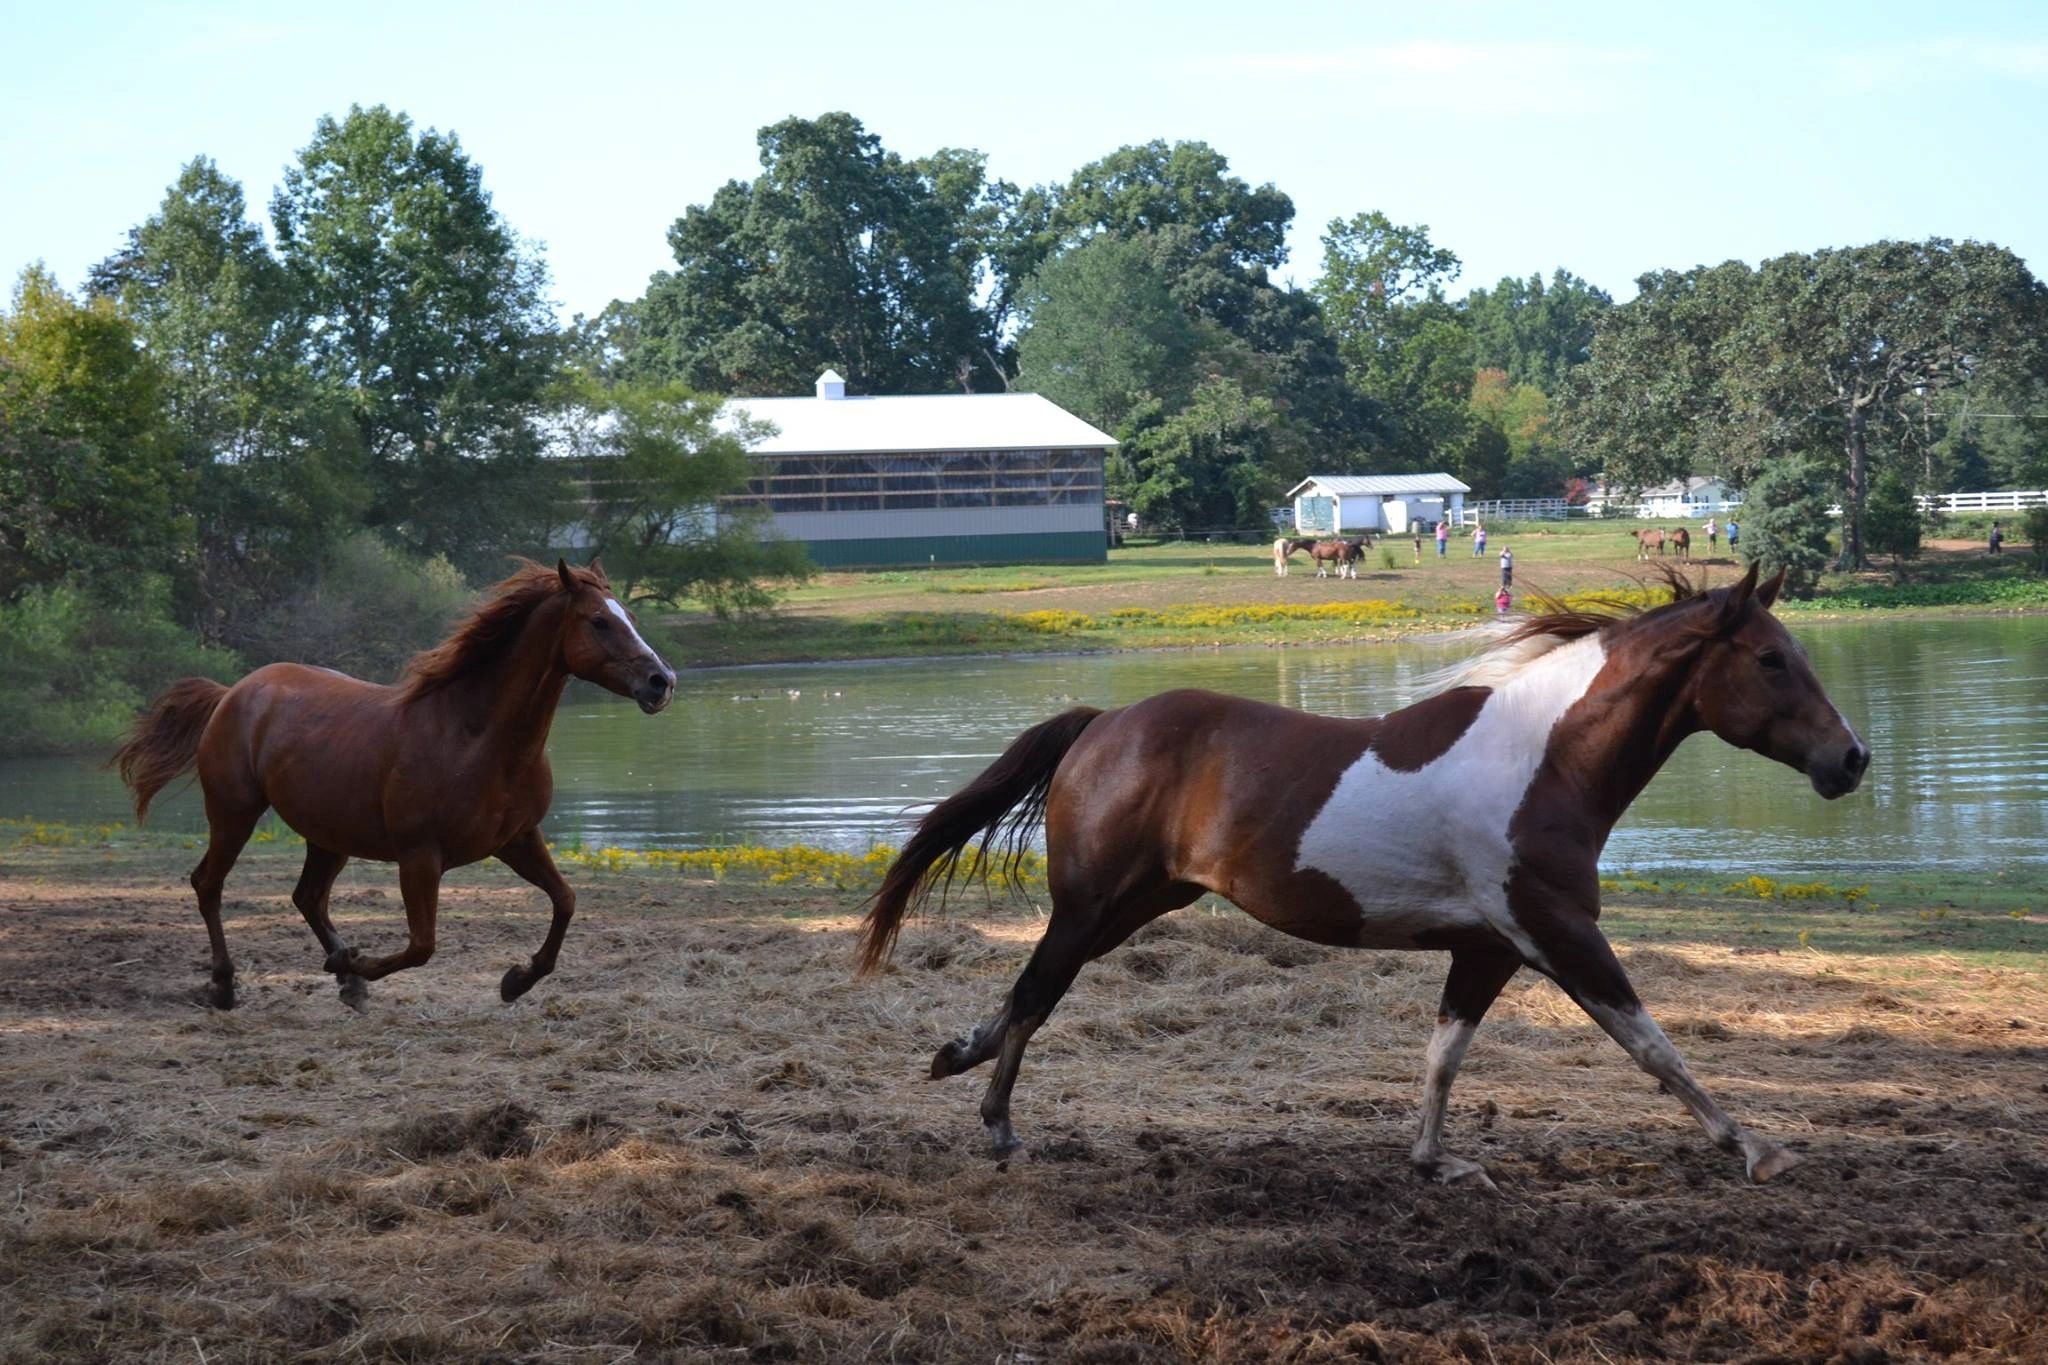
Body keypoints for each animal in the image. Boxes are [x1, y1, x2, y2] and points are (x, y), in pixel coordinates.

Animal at [110, 558, 675, 1011]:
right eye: (599, 621)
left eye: (630, 619)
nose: (661, 682)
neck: (475, 737)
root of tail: (234, 693)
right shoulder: (419, 855)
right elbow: (422, 945)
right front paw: (358, 968)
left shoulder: (517, 839)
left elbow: (566, 900)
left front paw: (515, 980)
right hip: (233, 814)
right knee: (209, 884)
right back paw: (229, 987)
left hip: (327, 835)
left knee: (308, 897)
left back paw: (344, 974)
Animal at [859, 564, 1868, 1187]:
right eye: (1772, 659)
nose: (1851, 759)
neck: (1542, 757)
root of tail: (1104, 721)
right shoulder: (1558, 933)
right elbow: (1652, 1045)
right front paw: (1756, 1148)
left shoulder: (1488, 949)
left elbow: (1444, 1055)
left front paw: (1434, 1160)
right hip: (1092, 902)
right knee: (1036, 991)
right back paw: (994, 1118)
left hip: (1137, 901)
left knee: (1033, 993)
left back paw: (961, 1055)